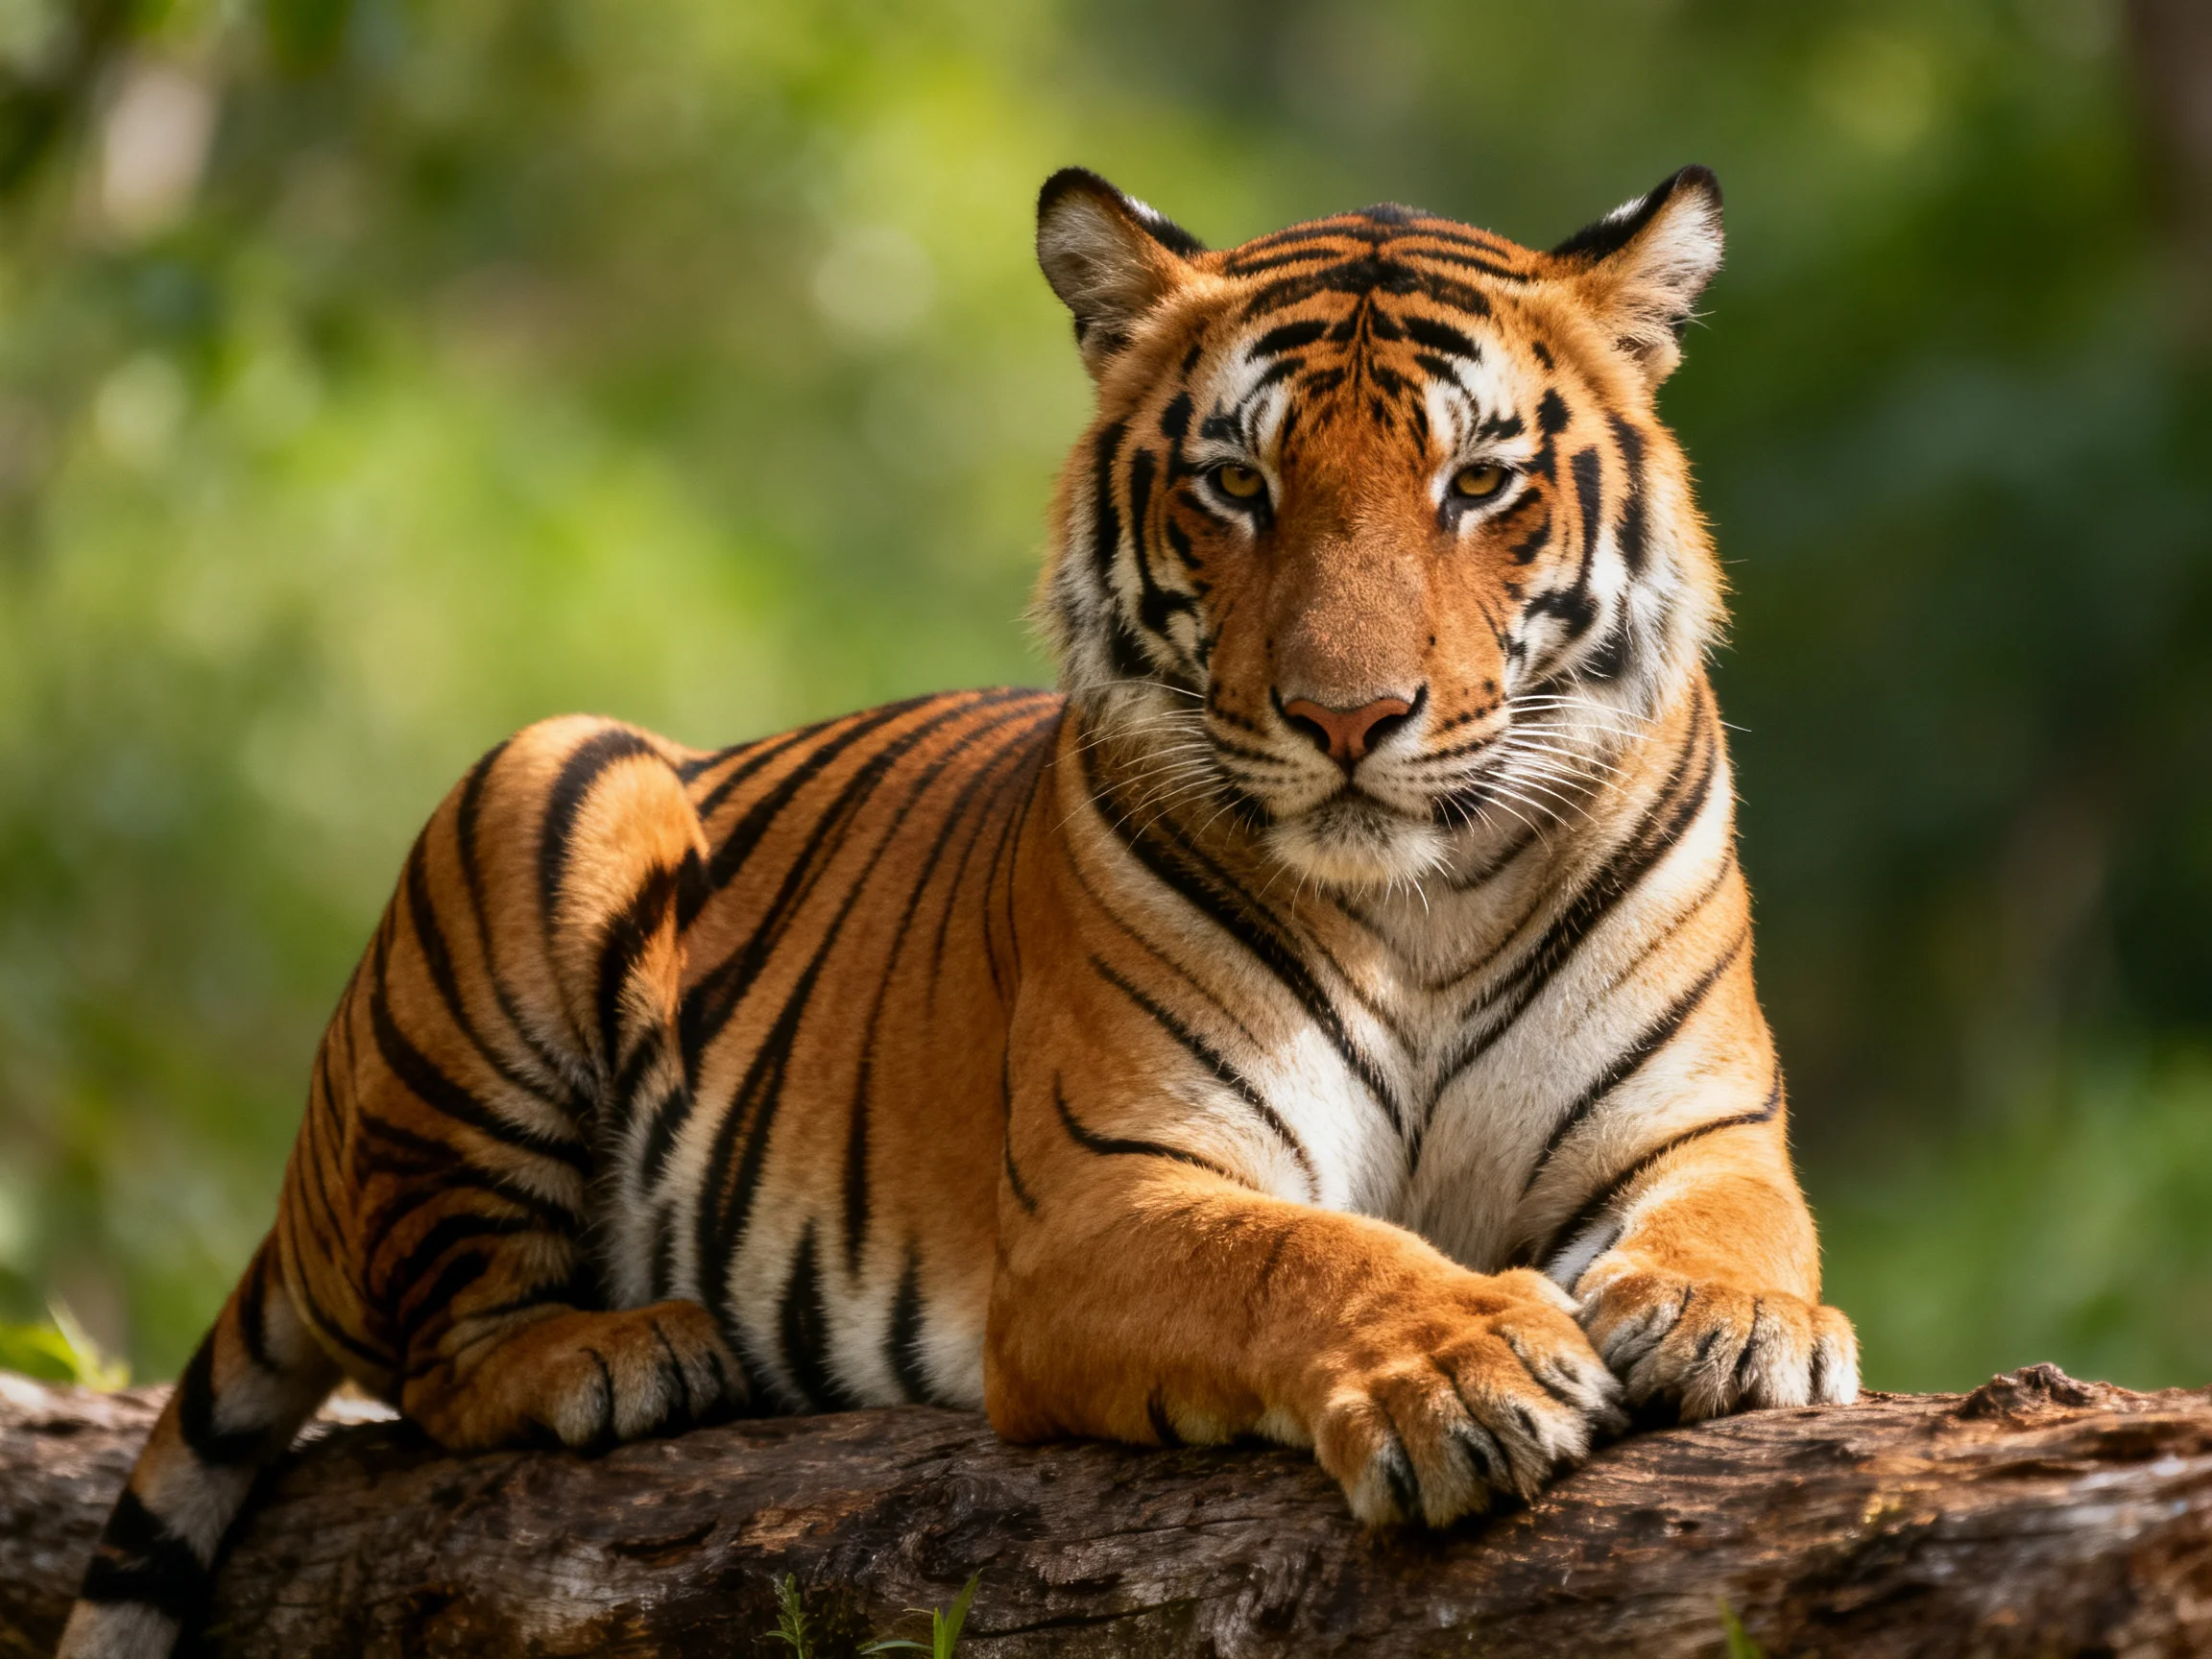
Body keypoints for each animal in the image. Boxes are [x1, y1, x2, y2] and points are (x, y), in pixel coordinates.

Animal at [62, 163, 1858, 1657]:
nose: (1348, 718)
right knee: (431, 1356)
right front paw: (1462, 1364)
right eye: (1235, 483)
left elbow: (1740, 1221)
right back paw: (617, 1352)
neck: (1412, 906)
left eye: (1479, 483)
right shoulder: (1113, 1195)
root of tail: (308, 1176)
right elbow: (1301, 1253)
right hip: (543, 780)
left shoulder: (1691, 1128)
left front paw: (1728, 1322)